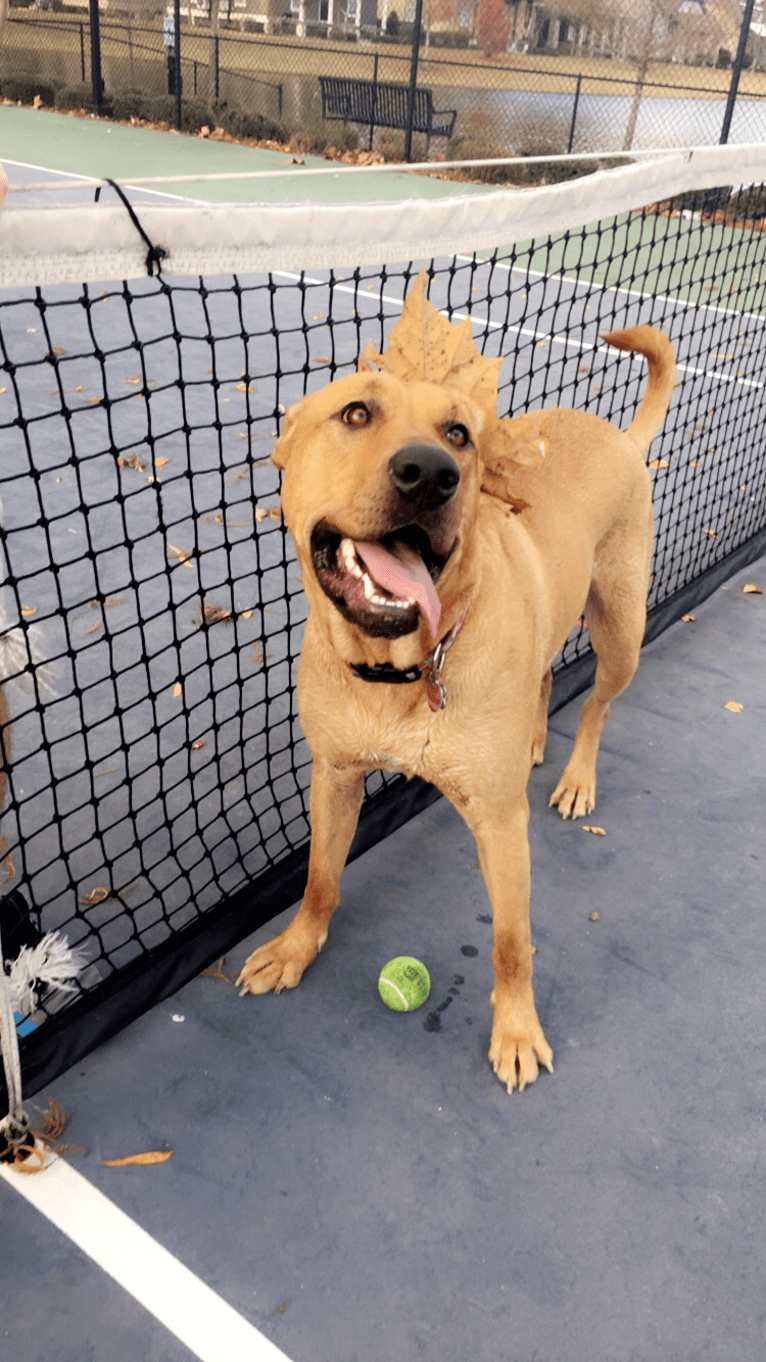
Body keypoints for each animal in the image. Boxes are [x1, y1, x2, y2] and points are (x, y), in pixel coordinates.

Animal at [235, 284, 670, 1084]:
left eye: (461, 433)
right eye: (356, 414)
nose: (429, 472)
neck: (402, 667)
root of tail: (620, 437)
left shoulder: (500, 826)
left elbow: (510, 941)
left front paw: (517, 1028)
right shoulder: (334, 777)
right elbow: (320, 880)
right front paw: (295, 948)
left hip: (620, 631)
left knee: (597, 703)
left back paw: (576, 777)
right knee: (543, 677)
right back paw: (534, 743)